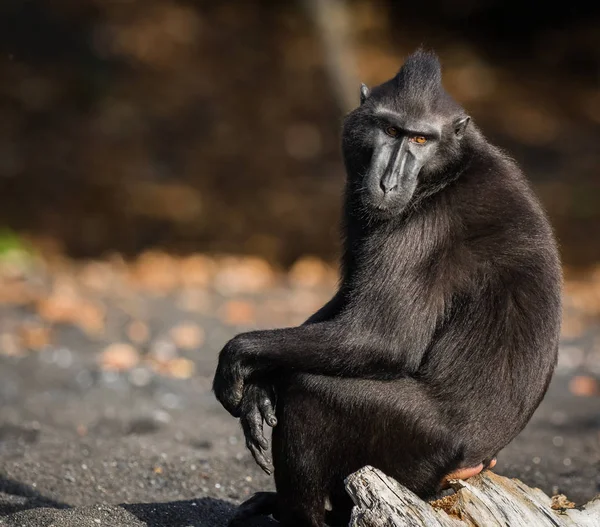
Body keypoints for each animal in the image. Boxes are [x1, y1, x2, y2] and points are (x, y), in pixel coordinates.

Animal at [214, 50, 564, 527]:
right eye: (391, 130)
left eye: (421, 139)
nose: (388, 183)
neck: (449, 172)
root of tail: (479, 460)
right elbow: (347, 304)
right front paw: (260, 385)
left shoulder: (424, 231)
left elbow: (379, 339)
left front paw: (239, 361)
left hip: (422, 446)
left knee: (311, 394)